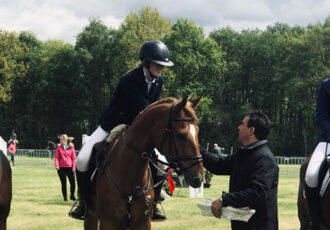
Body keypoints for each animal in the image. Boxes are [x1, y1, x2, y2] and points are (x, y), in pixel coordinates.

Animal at [84, 96, 204, 229]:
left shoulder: (143, 222)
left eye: (197, 132)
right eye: (180, 135)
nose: (198, 178)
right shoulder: (109, 223)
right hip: (91, 216)